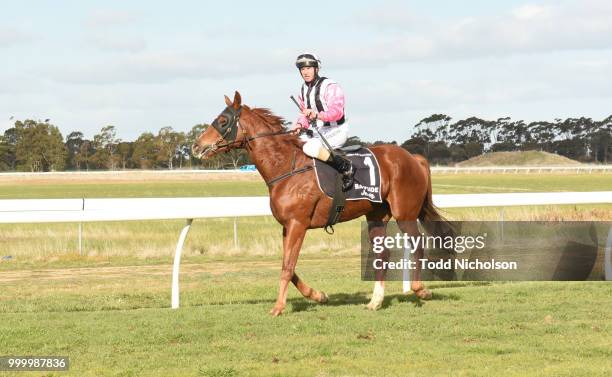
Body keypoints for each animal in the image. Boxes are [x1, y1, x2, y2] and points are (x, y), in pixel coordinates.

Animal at [194, 90, 452, 314]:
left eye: (223, 120)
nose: (197, 145)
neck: (286, 167)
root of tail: (414, 158)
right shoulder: (287, 227)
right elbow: (288, 265)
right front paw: (318, 295)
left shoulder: (298, 224)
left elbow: (287, 267)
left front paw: (278, 308)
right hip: (376, 216)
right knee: (383, 253)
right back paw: (375, 301)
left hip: (404, 213)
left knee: (418, 244)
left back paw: (420, 290)